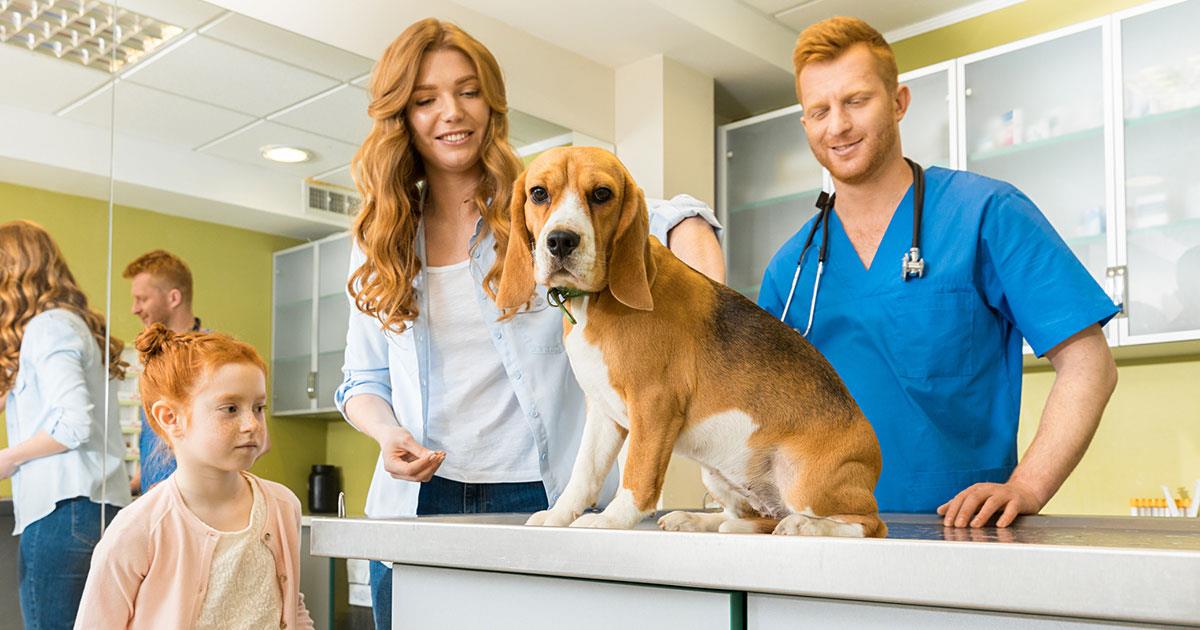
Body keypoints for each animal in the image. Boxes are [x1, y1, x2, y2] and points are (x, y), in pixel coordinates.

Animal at [494, 146, 883, 535]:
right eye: (538, 193)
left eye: (602, 194)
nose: (560, 240)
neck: (593, 301)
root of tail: (874, 455)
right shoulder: (603, 413)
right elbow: (584, 473)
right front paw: (559, 516)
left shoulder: (654, 403)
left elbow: (637, 475)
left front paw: (612, 519)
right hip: (718, 475)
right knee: (752, 517)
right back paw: (705, 521)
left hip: (802, 479)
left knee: (868, 524)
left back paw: (806, 526)